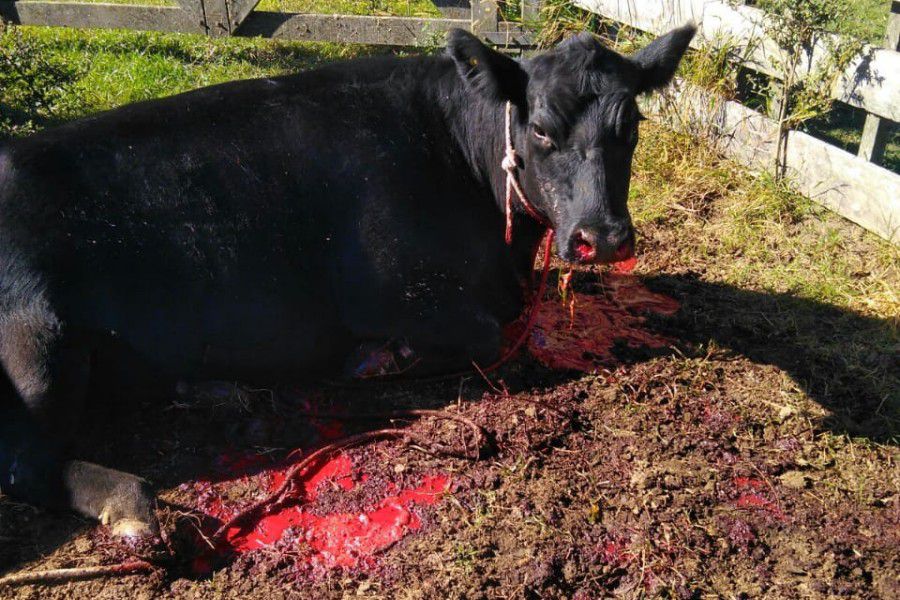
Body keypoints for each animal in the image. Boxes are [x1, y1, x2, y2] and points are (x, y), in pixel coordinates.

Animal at [0, 27, 696, 544]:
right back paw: (130, 503)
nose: (603, 237)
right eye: (544, 129)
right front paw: (377, 359)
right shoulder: (396, 293)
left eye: (632, 126)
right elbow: (481, 334)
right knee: (21, 460)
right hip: (37, 341)